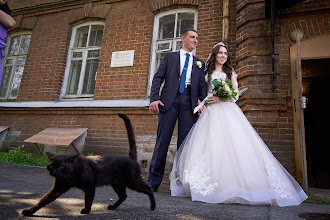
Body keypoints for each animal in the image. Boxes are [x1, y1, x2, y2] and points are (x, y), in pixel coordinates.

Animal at [21, 112, 156, 216]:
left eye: (61, 166)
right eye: (51, 166)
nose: (54, 172)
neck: (70, 175)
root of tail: (131, 158)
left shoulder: (90, 186)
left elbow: (88, 199)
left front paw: (86, 210)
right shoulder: (58, 187)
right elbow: (43, 200)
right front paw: (29, 211)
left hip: (132, 182)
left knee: (148, 189)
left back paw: (153, 207)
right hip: (117, 184)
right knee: (124, 196)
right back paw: (113, 207)